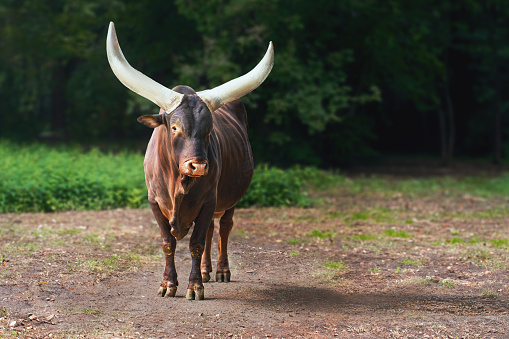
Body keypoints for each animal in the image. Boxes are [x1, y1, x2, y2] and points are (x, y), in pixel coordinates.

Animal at [105, 22, 274, 302]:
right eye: (174, 127)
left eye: (209, 130)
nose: (199, 166)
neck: (178, 183)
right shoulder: (154, 201)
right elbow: (168, 242)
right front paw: (168, 284)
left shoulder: (208, 200)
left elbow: (195, 243)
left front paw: (194, 287)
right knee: (210, 231)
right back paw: (206, 271)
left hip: (229, 199)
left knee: (223, 228)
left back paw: (220, 271)